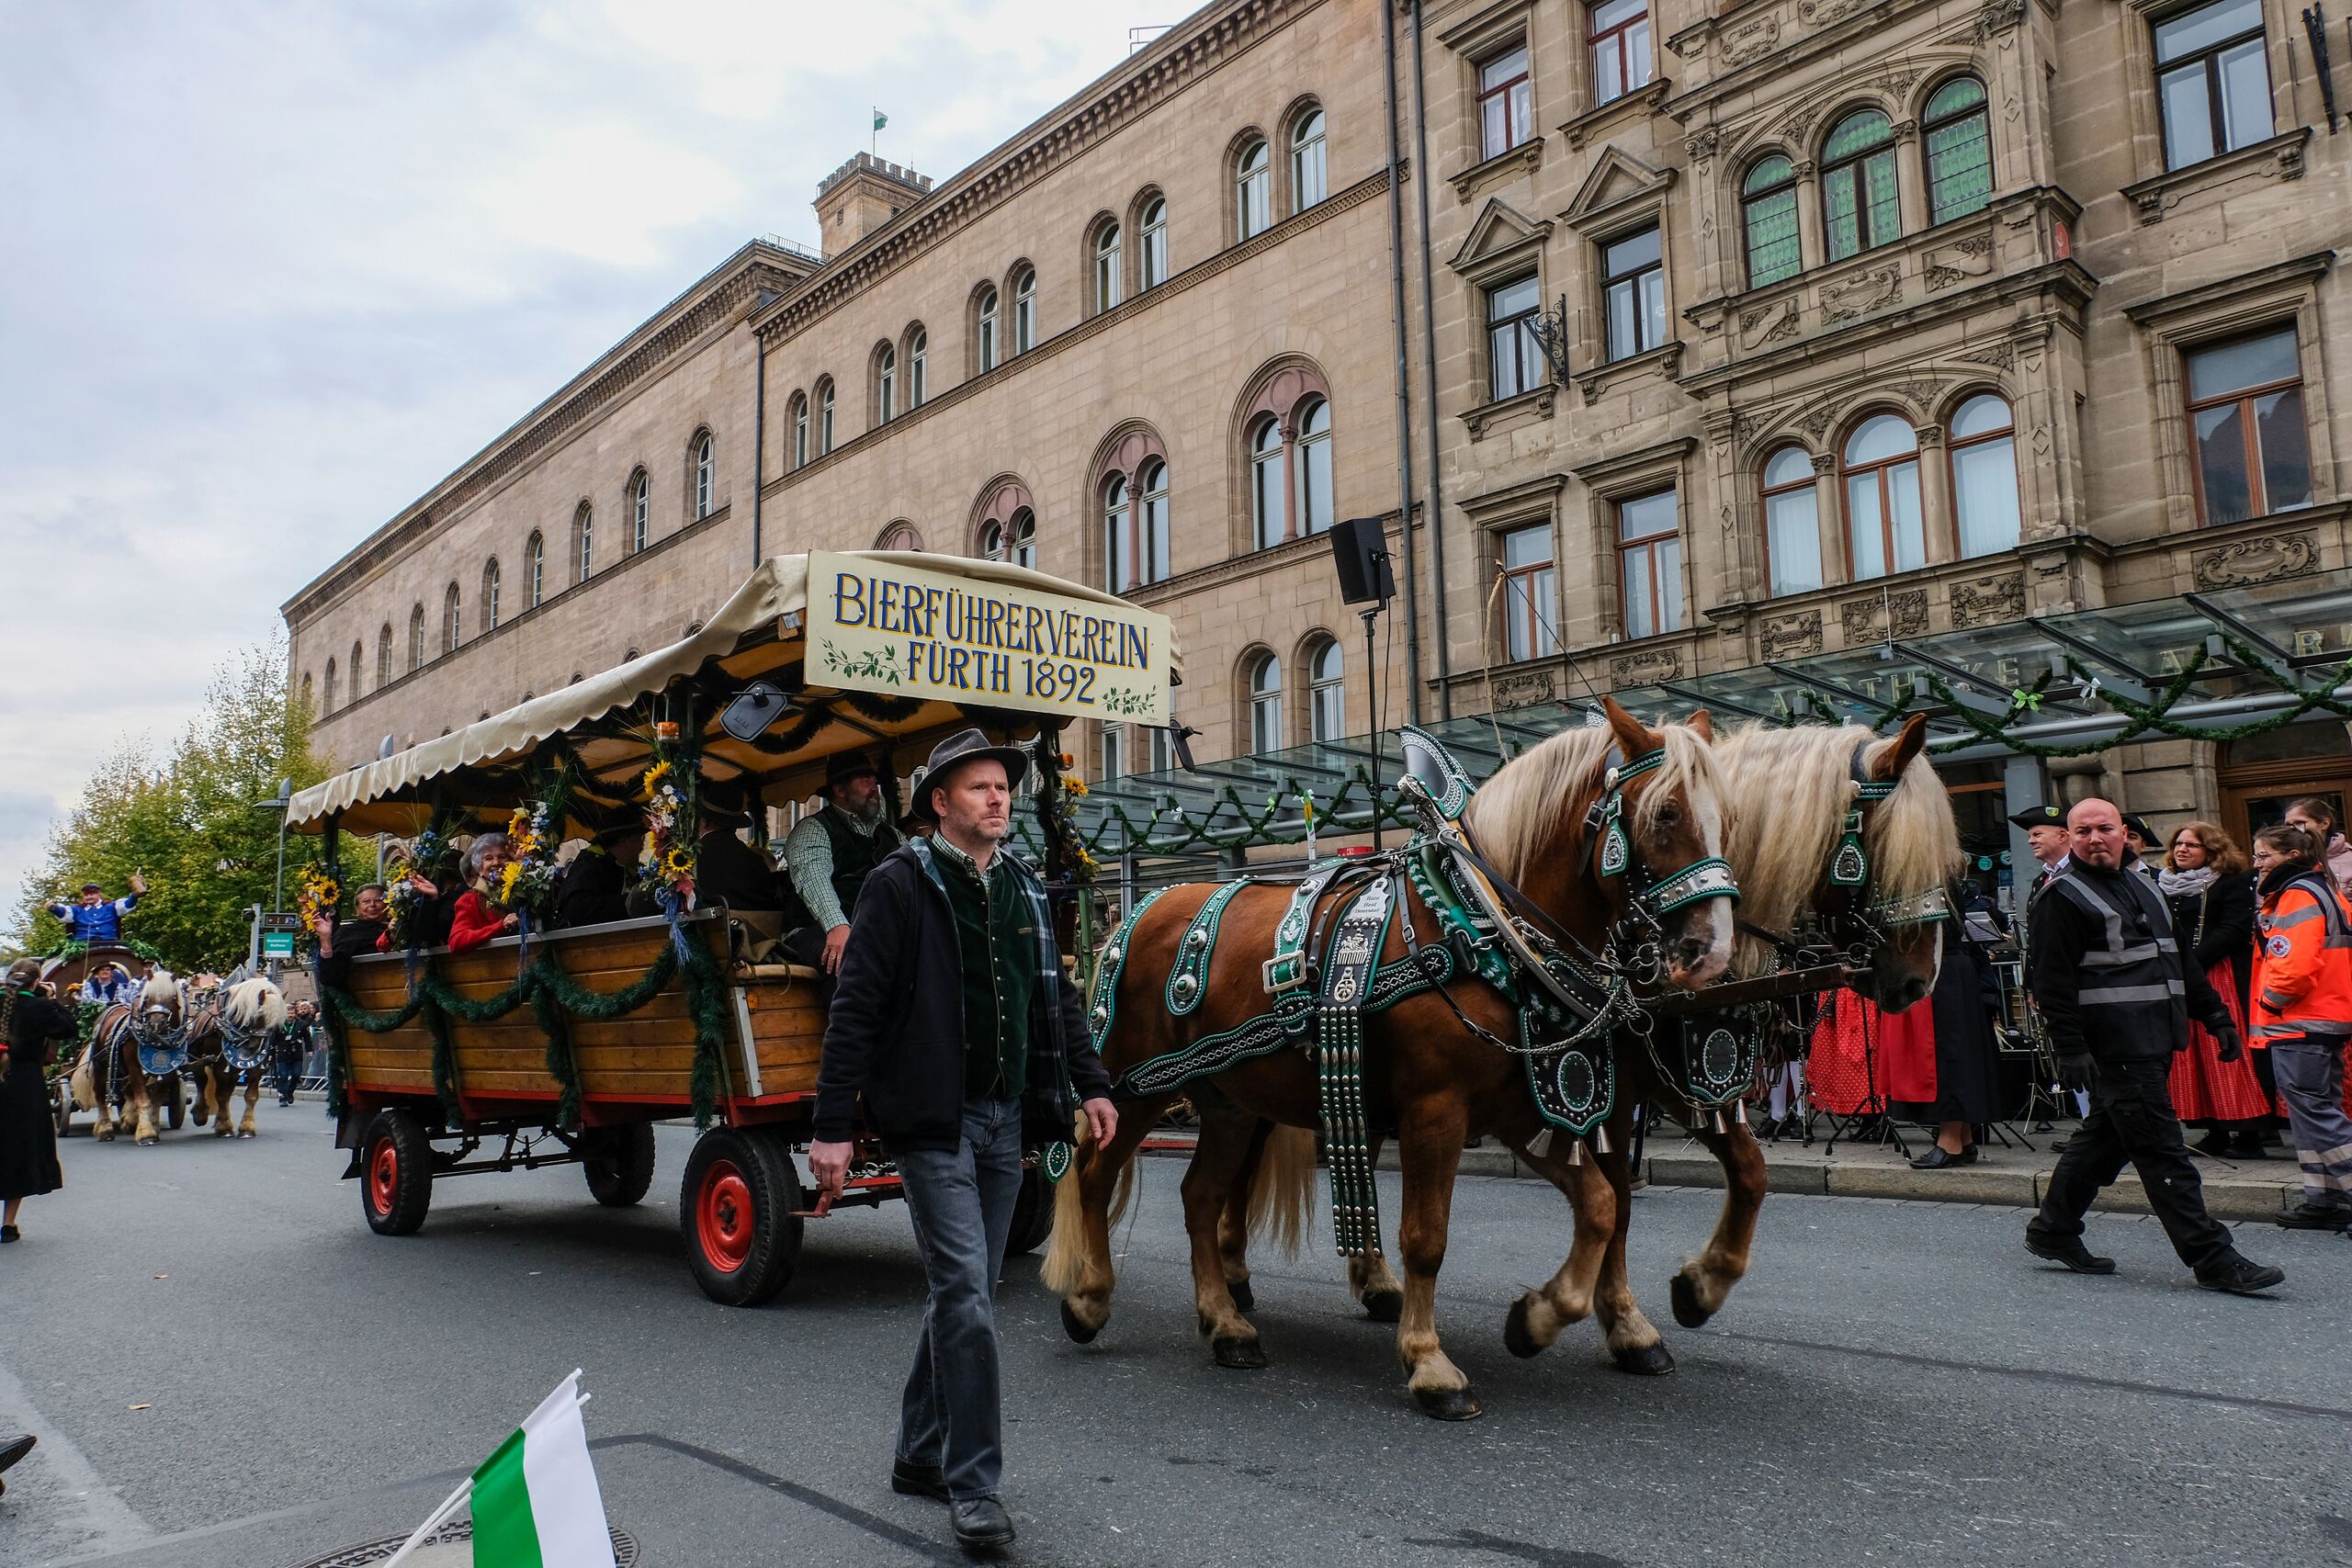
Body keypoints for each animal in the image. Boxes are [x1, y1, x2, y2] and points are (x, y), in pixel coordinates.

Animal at [72, 970, 188, 1145]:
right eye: (147, 998)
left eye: (173, 997)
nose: (156, 1023)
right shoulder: (133, 1065)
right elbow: (143, 1098)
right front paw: (147, 1133)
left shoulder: (169, 1067)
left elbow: (157, 1095)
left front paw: (150, 1125)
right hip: (101, 1065)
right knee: (99, 1093)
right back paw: (104, 1129)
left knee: (127, 1089)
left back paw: (129, 1121)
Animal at [186, 976, 286, 1140]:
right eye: (258, 1016)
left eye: (276, 1023)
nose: (256, 1048)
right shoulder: (219, 1066)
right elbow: (220, 1095)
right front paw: (224, 1128)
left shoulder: (256, 1067)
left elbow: (251, 1095)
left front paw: (247, 1128)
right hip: (197, 1059)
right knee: (202, 1081)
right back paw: (201, 1113)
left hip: (234, 1069)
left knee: (227, 1091)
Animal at [1043, 698, 1736, 1419]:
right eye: (1666, 813)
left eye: (1729, 815)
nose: (1711, 952)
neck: (1477, 925)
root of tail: (1142, 910)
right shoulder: (1437, 1111)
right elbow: (1425, 1238)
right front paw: (1431, 1364)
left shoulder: (1521, 1111)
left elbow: (1602, 1205)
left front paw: (1539, 1318)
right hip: (1133, 1088)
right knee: (1094, 1174)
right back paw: (1090, 1297)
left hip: (1227, 1101)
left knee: (1200, 1195)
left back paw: (1226, 1323)